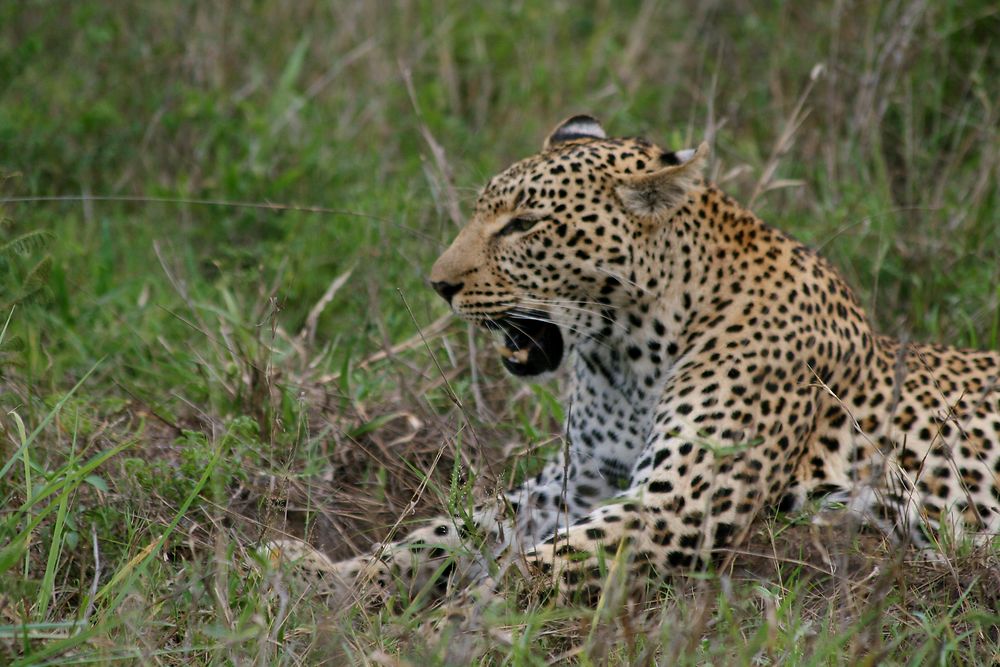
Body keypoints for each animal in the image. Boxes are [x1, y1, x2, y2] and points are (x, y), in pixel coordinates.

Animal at [266, 116, 1000, 612]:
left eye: (523, 225)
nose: (439, 285)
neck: (628, 351)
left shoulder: (678, 500)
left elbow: (530, 570)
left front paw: (444, 627)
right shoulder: (581, 479)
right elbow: (447, 534)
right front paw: (327, 579)